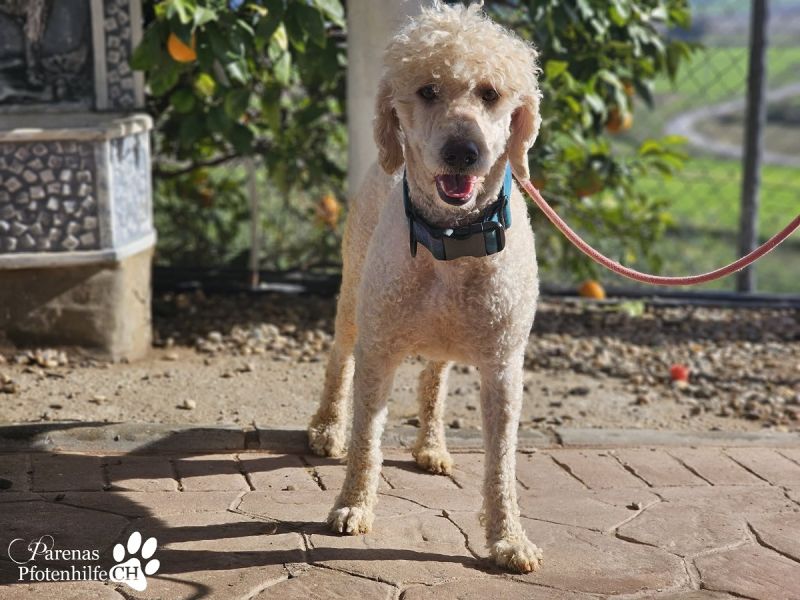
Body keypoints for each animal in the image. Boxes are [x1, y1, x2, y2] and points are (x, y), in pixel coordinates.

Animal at [308, 2, 543, 573]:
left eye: (490, 93)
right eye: (428, 90)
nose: (464, 151)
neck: (453, 241)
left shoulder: (503, 367)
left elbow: (501, 462)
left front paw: (509, 539)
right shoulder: (379, 350)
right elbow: (366, 439)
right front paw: (352, 505)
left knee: (433, 376)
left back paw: (431, 445)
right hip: (355, 297)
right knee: (338, 357)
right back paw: (327, 428)